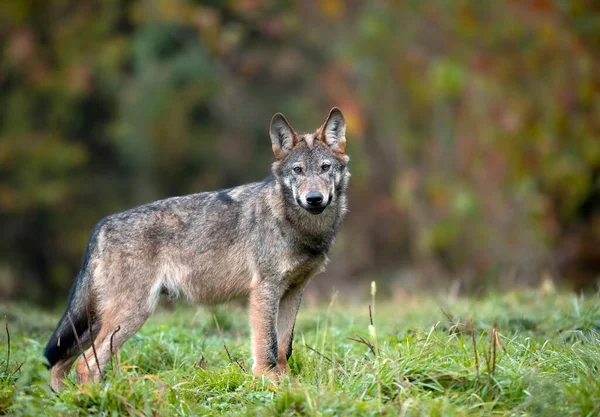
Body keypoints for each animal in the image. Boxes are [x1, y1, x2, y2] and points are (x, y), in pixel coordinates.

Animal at [44, 107, 350, 390]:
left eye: (325, 168)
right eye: (298, 170)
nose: (314, 199)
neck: (297, 225)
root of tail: (100, 226)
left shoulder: (293, 291)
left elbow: (285, 346)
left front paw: (288, 385)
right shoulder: (264, 289)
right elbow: (269, 346)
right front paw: (268, 383)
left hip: (97, 322)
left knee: (60, 364)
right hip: (130, 314)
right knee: (85, 366)